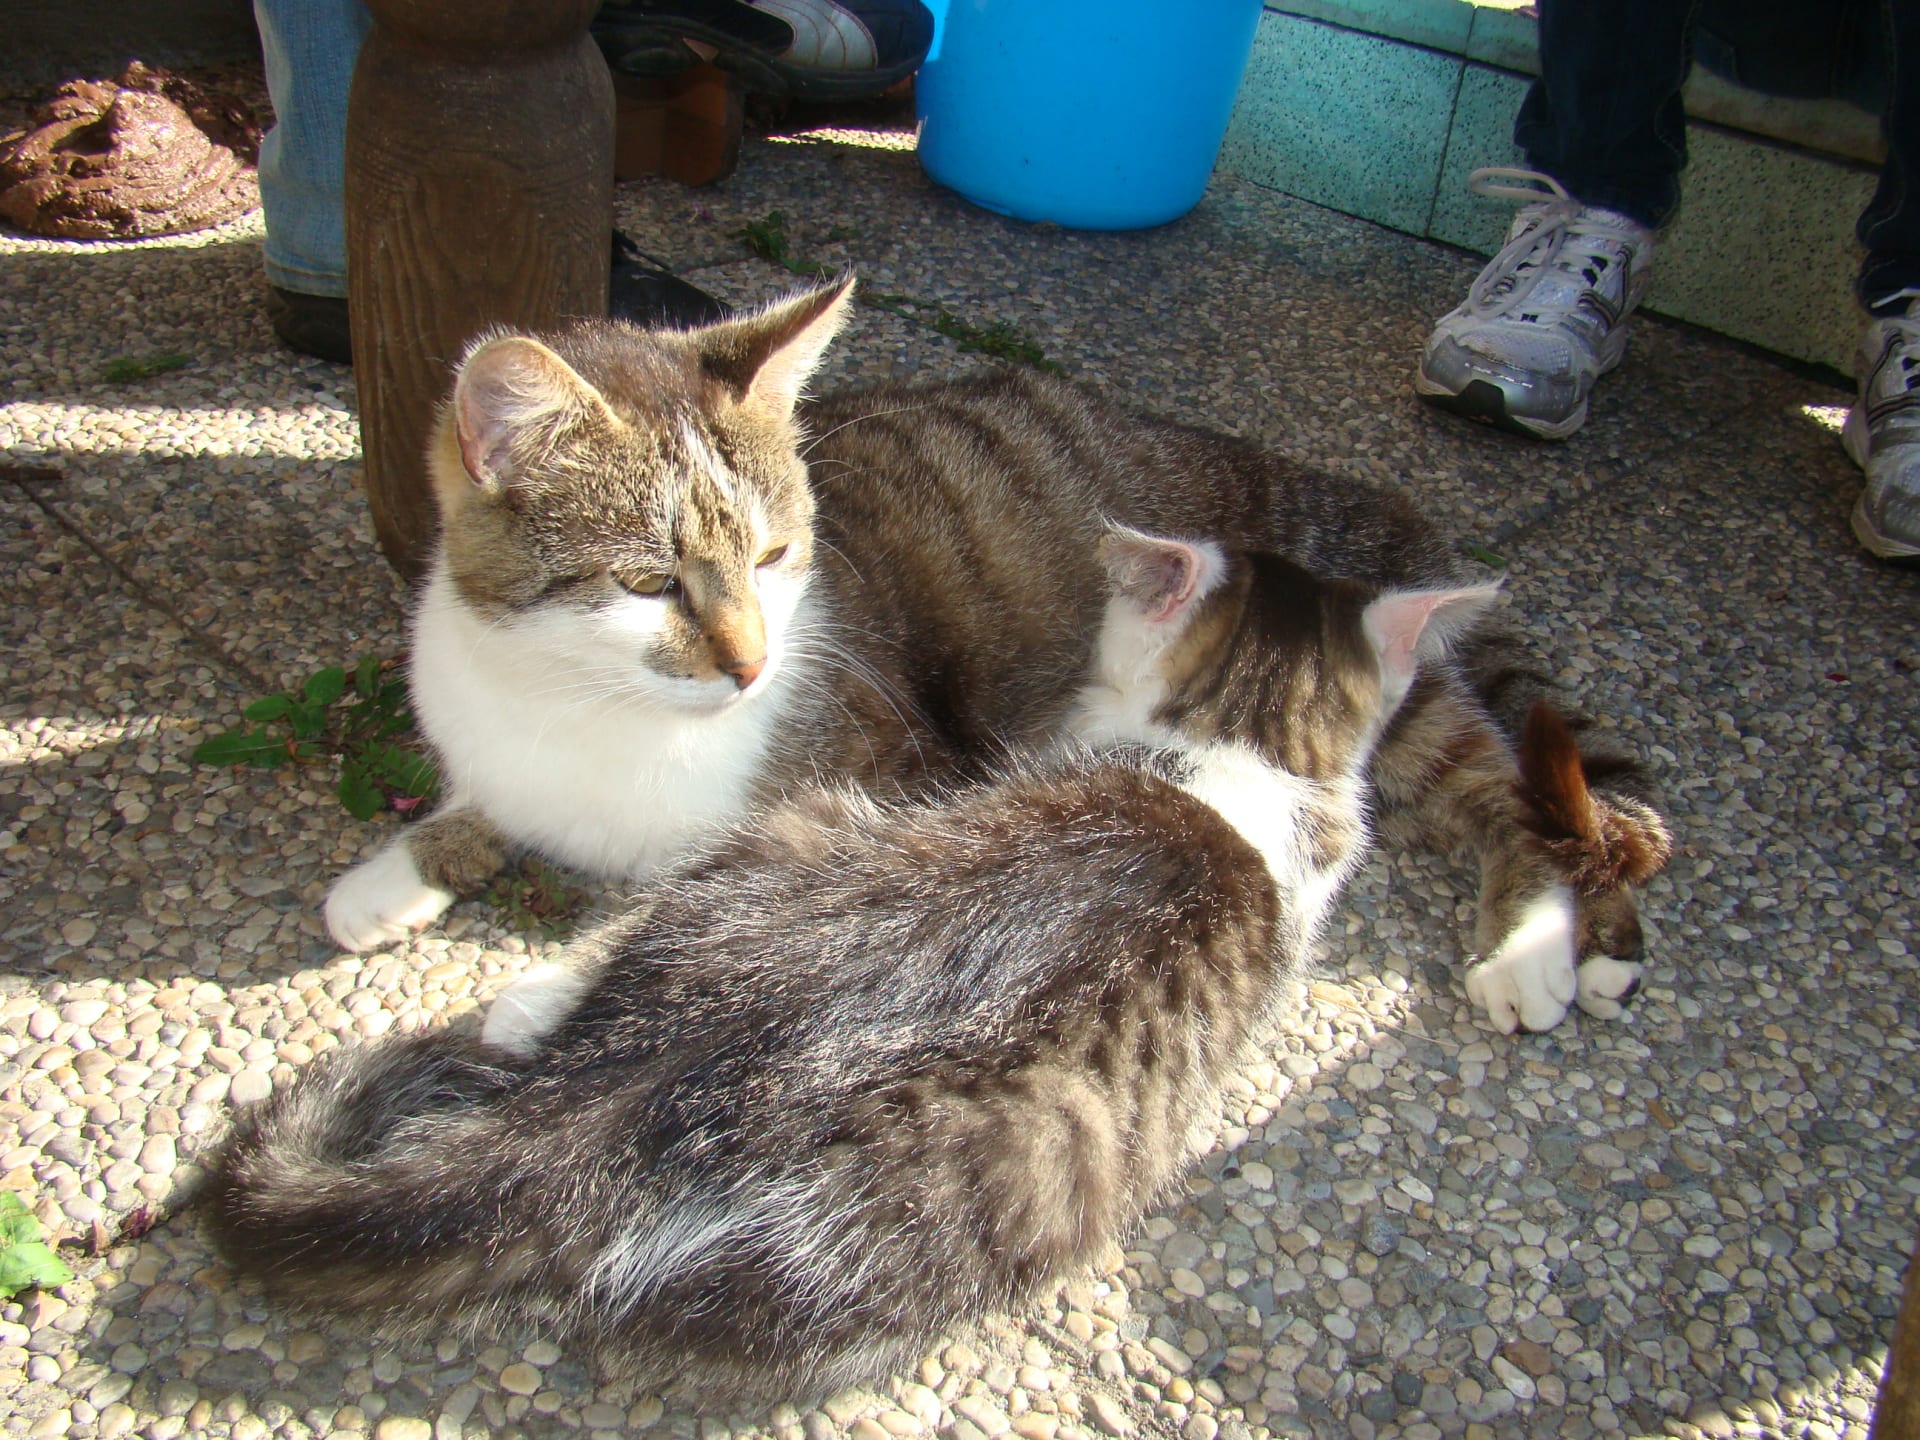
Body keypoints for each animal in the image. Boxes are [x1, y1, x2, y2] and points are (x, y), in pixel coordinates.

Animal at [322, 278, 1670, 1032]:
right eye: (651, 582)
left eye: (776, 555)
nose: (751, 667)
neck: (589, 709)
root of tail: (1274, 472)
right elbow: (483, 798)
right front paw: (403, 865)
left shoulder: (885, 785)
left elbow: (695, 909)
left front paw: (549, 989)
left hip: (1399, 702)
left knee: (1516, 791)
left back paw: (1546, 946)